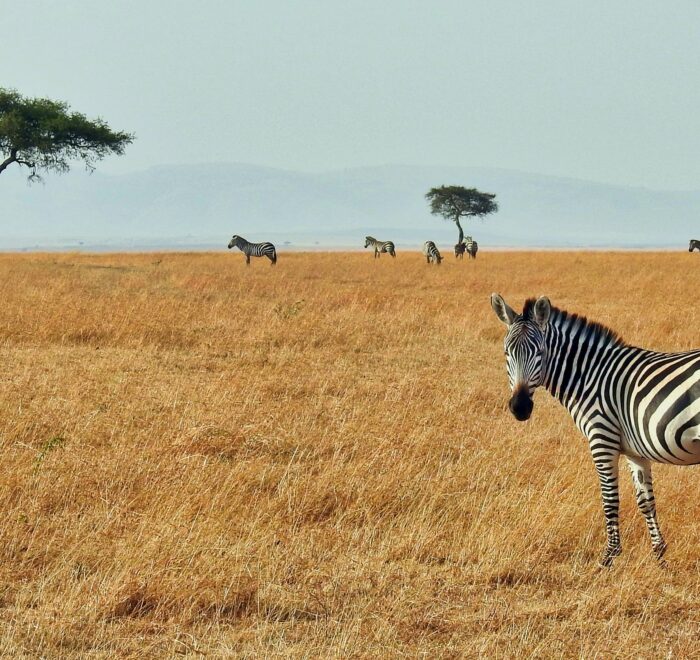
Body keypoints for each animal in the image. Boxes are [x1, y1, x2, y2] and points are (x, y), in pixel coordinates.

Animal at [490, 294, 700, 568]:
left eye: (540, 352)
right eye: (506, 353)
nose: (520, 407)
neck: (589, 377)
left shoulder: (602, 439)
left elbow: (610, 500)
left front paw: (609, 557)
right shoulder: (635, 451)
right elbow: (646, 502)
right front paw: (660, 557)